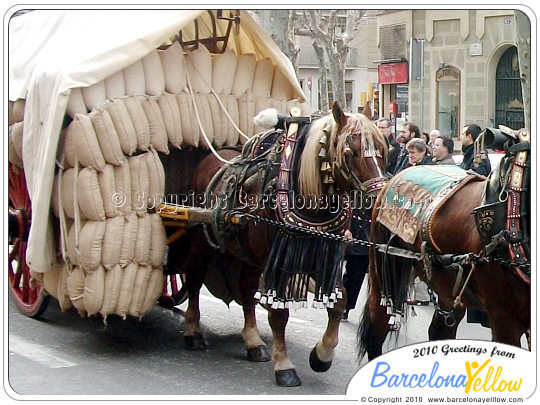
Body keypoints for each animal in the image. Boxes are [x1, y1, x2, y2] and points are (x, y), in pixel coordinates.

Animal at [169, 102, 388, 386]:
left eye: (382, 148)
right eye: (350, 151)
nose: (379, 197)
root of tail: (211, 157)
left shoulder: (325, 255)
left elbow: (339, 302)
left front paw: (322, 355)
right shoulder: (278, 260)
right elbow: (279, 313)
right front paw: (284, 365)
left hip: (248, 254)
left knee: (247, 289)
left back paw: (253, 342)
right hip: (202, 242)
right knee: (195, 279)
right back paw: (193, 331)